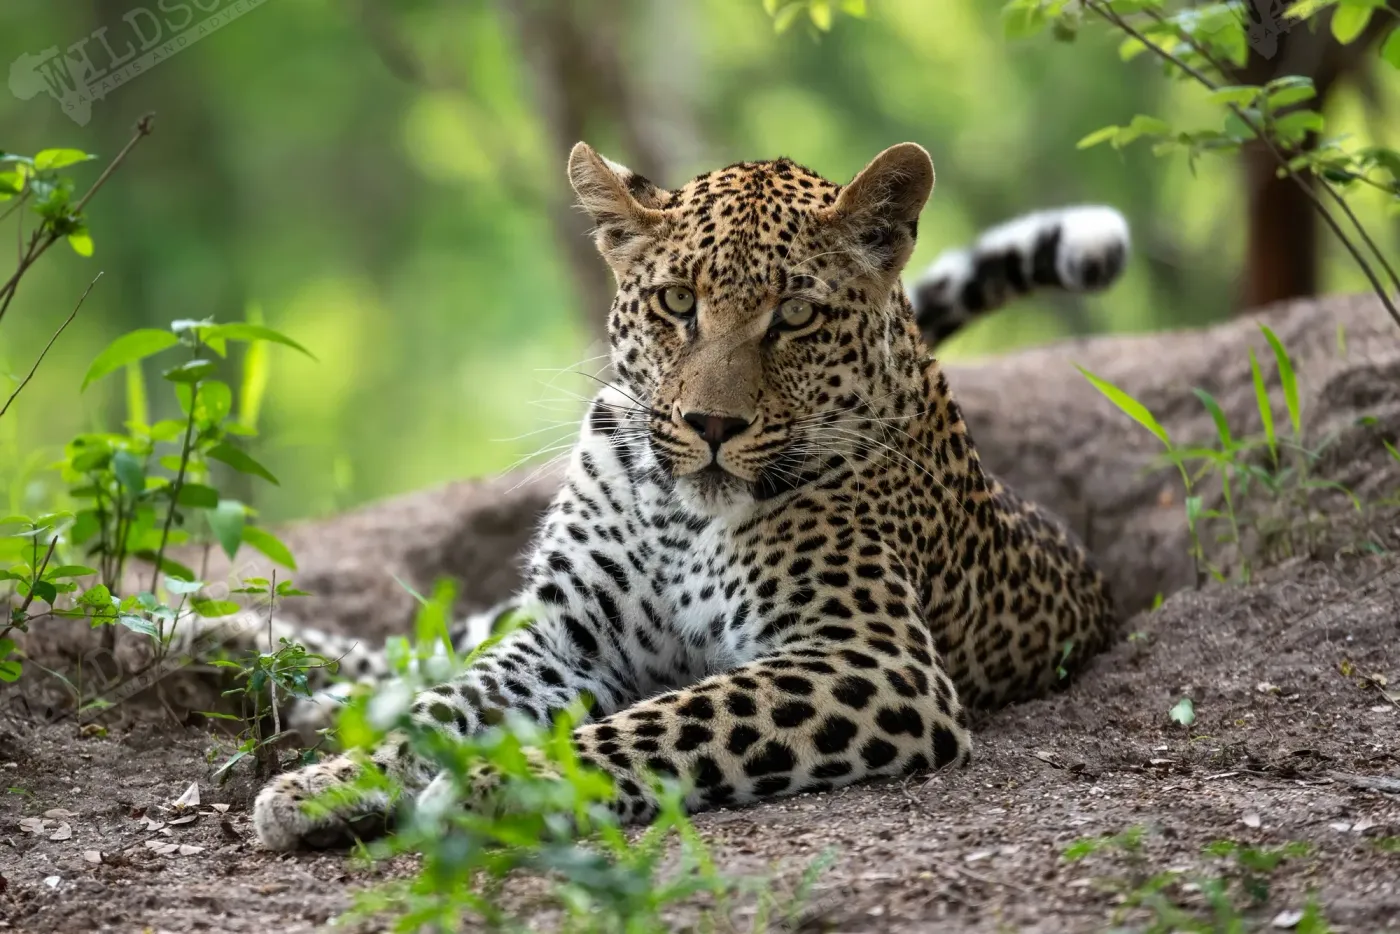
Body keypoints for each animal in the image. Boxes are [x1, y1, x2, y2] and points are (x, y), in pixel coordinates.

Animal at [242, 141, 1128, 850]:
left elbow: (662, 721)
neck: (681, 517)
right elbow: (445, 708)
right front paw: (331, 783)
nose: (712, 424)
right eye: (676, 302)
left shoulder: (873, 660)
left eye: (795, 315)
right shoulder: (562, 640)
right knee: (427, 646)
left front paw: (496, 784)